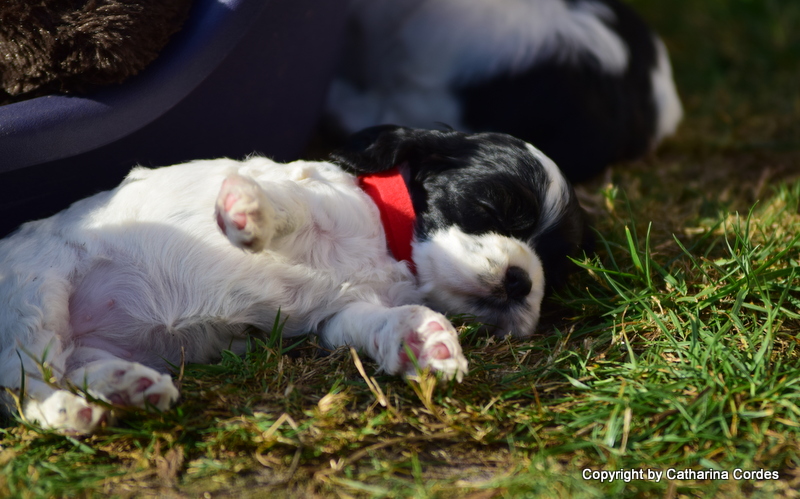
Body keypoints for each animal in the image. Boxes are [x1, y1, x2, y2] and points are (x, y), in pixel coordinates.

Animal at [1, 127, 592, 436]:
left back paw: (127, 388)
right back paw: (66, 410)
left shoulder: (342, 314)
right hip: (35, 294)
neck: (387, 242)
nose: (521, 282)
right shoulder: (309, 193)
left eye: (554, 269)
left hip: (72, 339)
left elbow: (383, 320)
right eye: (491, 207)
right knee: (24, 387)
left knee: (66, 369)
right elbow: (285, 203)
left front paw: (425, 340)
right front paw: (246, 210)